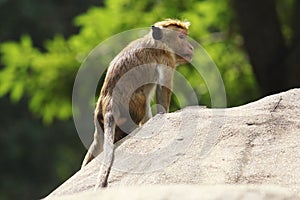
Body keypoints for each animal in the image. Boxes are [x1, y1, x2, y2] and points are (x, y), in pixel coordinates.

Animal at [81, 18, 193, 188]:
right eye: (181, 37)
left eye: (185, 36)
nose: (191, 47)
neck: (157, 42)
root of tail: (108, 106)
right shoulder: (166, 58)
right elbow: (163, 89)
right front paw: (165, 113)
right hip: (131, 106)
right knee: (142, 97)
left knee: (98, 143)